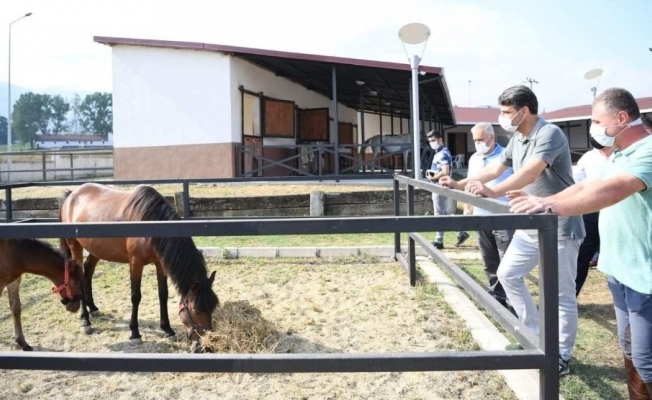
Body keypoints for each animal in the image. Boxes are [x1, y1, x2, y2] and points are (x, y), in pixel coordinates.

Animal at [60, 183, 220, 352]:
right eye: (196, 311)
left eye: (213, 308)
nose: (206, 345)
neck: (149, 222)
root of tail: (71, 195)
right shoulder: (136, 263)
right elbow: (136, 296)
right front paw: (135, 333)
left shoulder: (160, 263)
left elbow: (163, 294)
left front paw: (167, 329)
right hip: (75, 247)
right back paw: (85, 321)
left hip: (96, 249)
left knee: (88, 271)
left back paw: (93, 307)